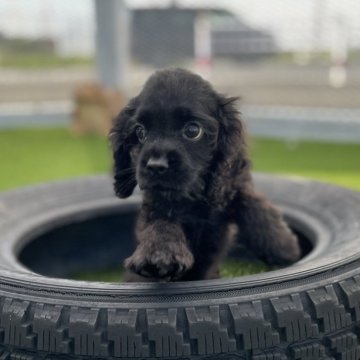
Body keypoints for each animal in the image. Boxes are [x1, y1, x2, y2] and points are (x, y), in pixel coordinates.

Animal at [109, 67, 300, 282]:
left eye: (193, 130)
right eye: (140, 132)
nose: (156, 166)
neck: (194, 197)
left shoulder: (229, 185)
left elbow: (253, 202)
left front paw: (284, 246)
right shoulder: (156, 202)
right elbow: (159, 223)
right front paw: (158, 254)